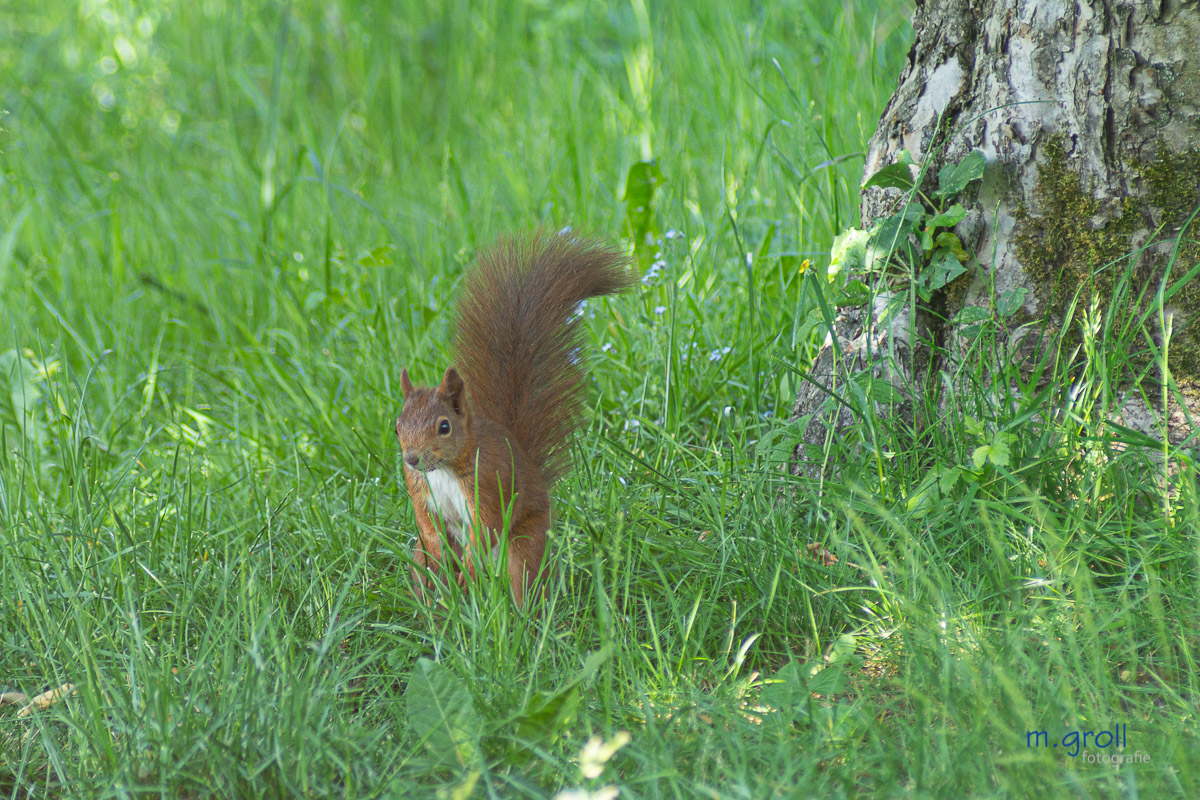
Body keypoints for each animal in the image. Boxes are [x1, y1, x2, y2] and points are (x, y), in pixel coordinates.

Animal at [396, 231, 638, 606]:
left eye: (444, 427)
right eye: (397, 427)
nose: (411, 459)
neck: (445, 469)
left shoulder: (488, 482)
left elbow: (487, 527)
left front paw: (466, 570)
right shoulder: (419, 490)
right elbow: (430, 531)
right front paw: (445, 565)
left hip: (525, 545)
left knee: (522, 578)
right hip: (422, 562)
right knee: (427, 571)